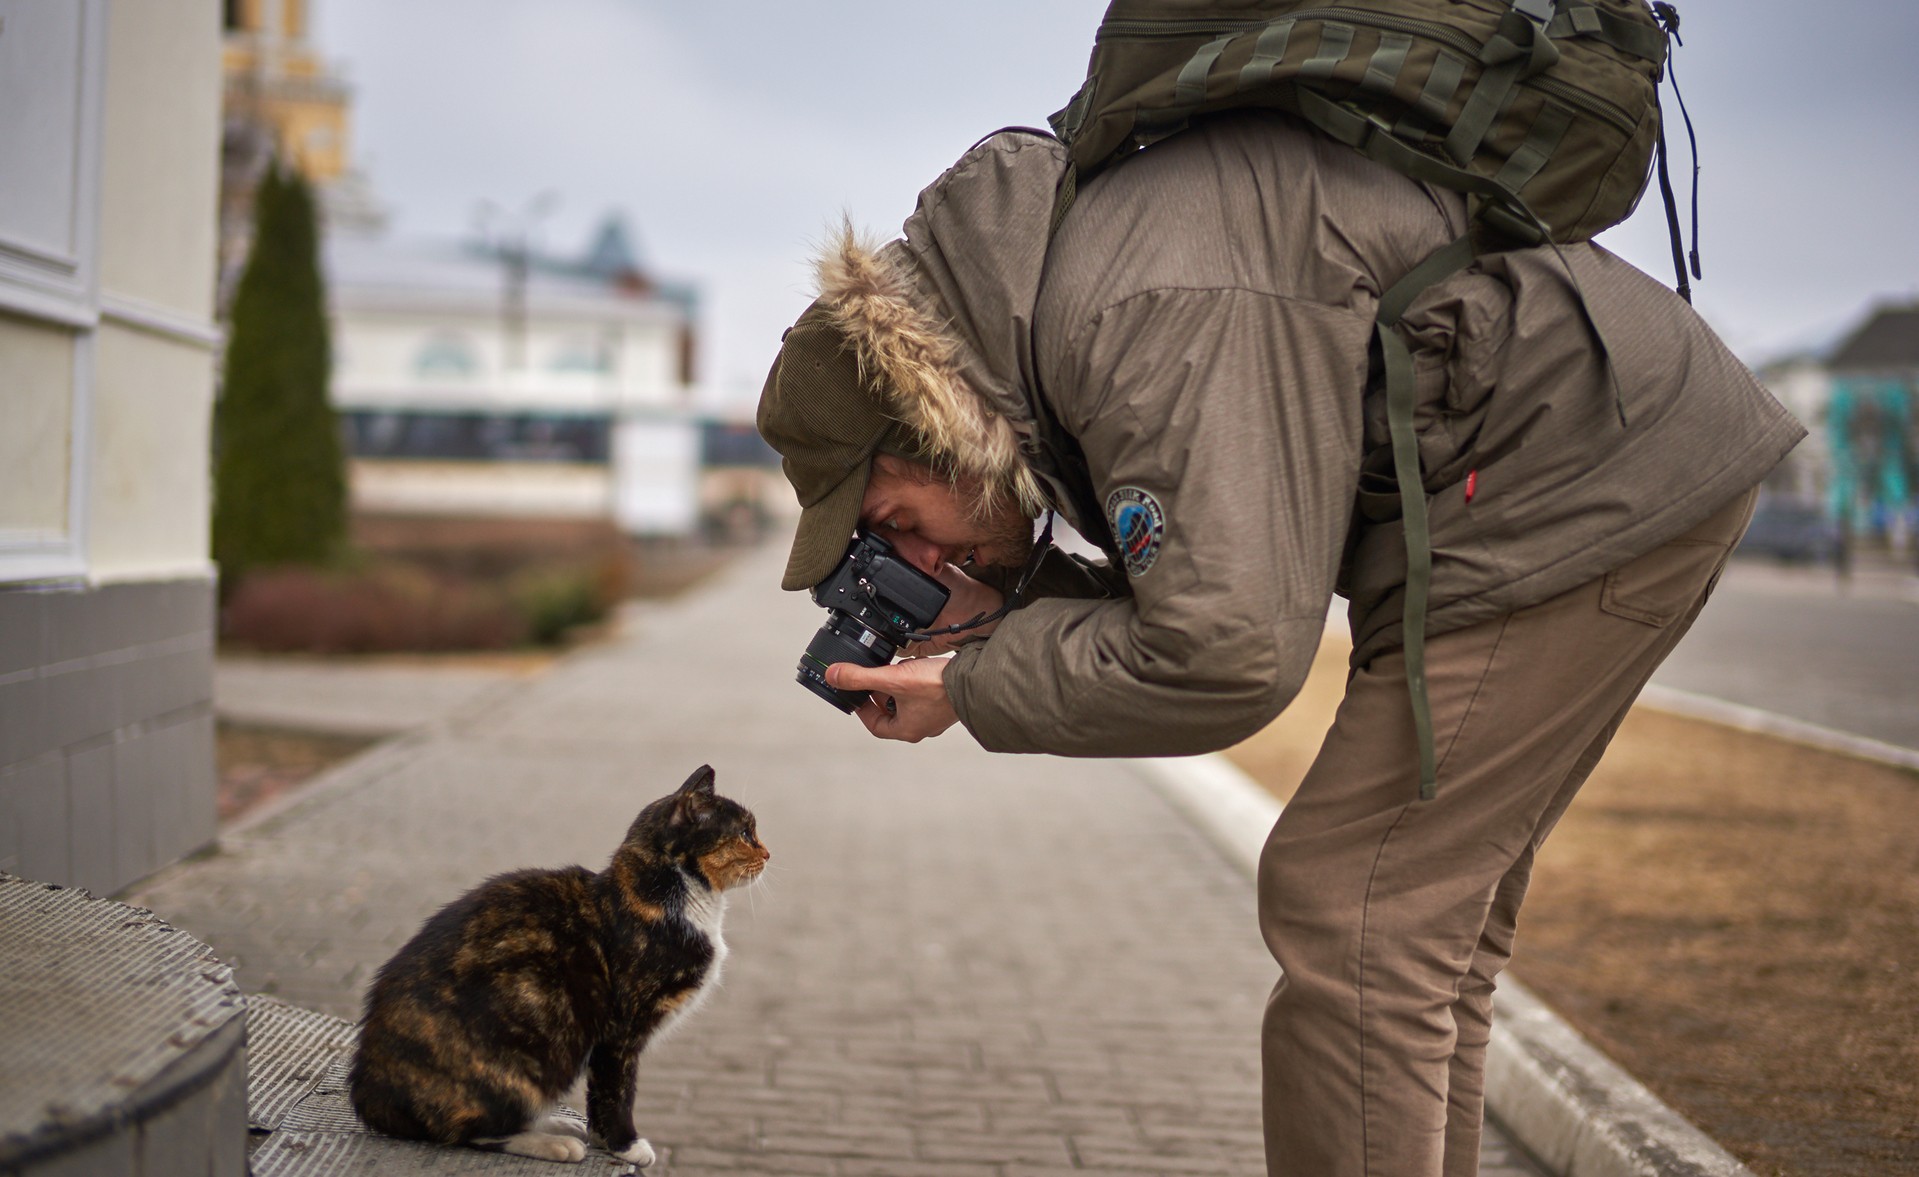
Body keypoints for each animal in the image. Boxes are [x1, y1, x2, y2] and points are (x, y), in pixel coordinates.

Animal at [349, 768, 767, 1159]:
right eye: (745, 832)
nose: (768, 854)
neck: (670, 896)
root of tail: (370, 1094)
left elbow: (600, 1096)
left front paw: (602, 1139)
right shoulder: (619, 1033)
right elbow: (616, 1091)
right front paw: (626, 1145)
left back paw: (557, 1125)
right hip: (523, 1060)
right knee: (471, 1131)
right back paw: (554, 1143)